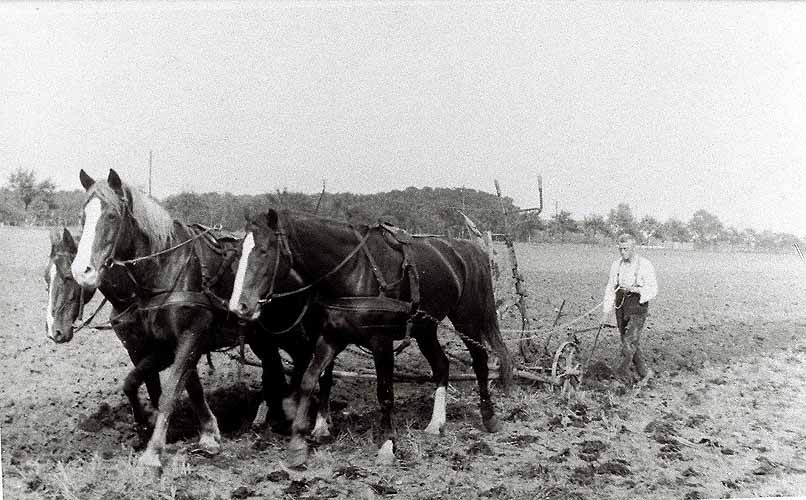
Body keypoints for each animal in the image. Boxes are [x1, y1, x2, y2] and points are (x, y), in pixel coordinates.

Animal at [69, 170, 316, 470]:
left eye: (113, 216)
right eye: (82, 216)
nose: (82, 271)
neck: (165, 268)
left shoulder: (190, 335)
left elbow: (171, 390)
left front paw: (154, 452)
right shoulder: (164, 345)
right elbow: (144, 383)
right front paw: (200, 433)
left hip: (287, 330)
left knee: (306, 357)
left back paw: (303, 413)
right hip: (262, 337)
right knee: (275, 368)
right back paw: (269, 415)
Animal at [230, 209, 516, 466]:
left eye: (264, 251)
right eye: (239, 252)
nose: (239, 306)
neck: (354, 271)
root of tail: (468, 249)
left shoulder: (381, 342)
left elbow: (385, 392)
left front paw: (387, 445)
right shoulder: (330, 337)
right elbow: (310, 380)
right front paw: (299, 442)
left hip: (467, 319)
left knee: (480, 360)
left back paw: (489, 417)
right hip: (425, 328)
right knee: (441, 366)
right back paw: (436, 423)